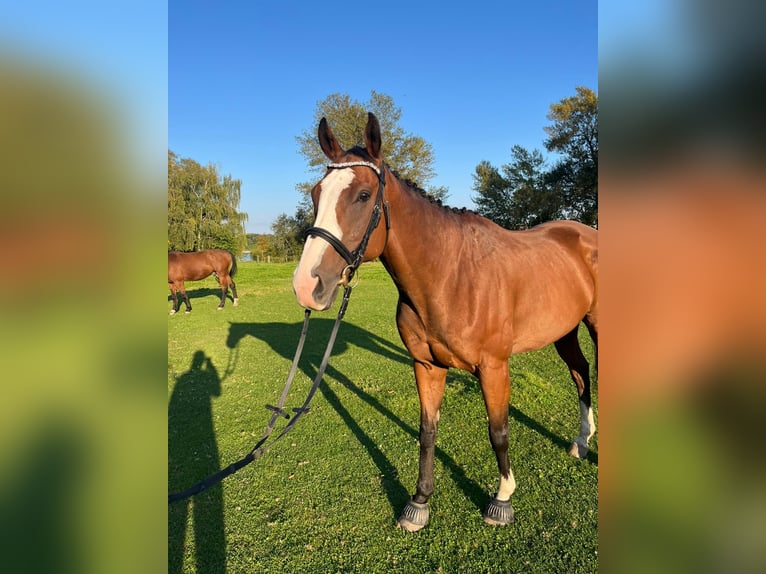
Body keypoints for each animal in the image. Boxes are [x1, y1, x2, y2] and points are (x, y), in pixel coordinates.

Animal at [294, 113, 600, 536]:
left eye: (363, 195)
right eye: (316, 193)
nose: (307, 286)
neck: (449, 276)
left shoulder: (493, 367)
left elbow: (498, 432)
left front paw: (502, 500)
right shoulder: (426, 365)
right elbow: (427, 431)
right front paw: (419, 502)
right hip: (565, 330)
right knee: (580, 373)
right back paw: (581, 441)